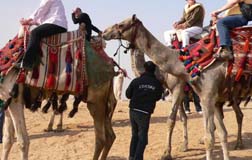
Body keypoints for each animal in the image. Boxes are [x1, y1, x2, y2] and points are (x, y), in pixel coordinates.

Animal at [0, 24, 117, 160]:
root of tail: (110, 65)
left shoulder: (15, 99)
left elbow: (23, 141)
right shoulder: (6, 100)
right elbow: (8, 140)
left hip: (96, 100)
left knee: (101, 138)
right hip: (101, 101)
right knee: (110, 136)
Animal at [102, 14, 246, 159]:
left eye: (121, 24)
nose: (104, 32)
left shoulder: (178, 88)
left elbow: (171, 120)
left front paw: (166, 153)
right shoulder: (176, 93)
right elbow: (183, 118)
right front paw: (184, 146)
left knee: (238, 115)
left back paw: (239, 143)